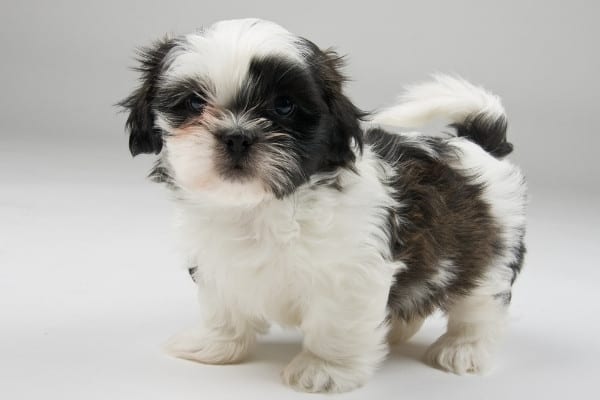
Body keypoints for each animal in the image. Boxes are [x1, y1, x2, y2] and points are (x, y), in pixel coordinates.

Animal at [120, 18, 524, 394]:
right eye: (193, 103)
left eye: (284, 106)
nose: (237, 136)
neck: (263, 206)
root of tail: (479, 145)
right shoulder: (217, 263)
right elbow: (223, 308)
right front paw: (214, 345)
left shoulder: (350, 275)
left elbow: (335, 325)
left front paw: (325, 369)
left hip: (490, 257)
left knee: (480, 307)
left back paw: (463, 349)